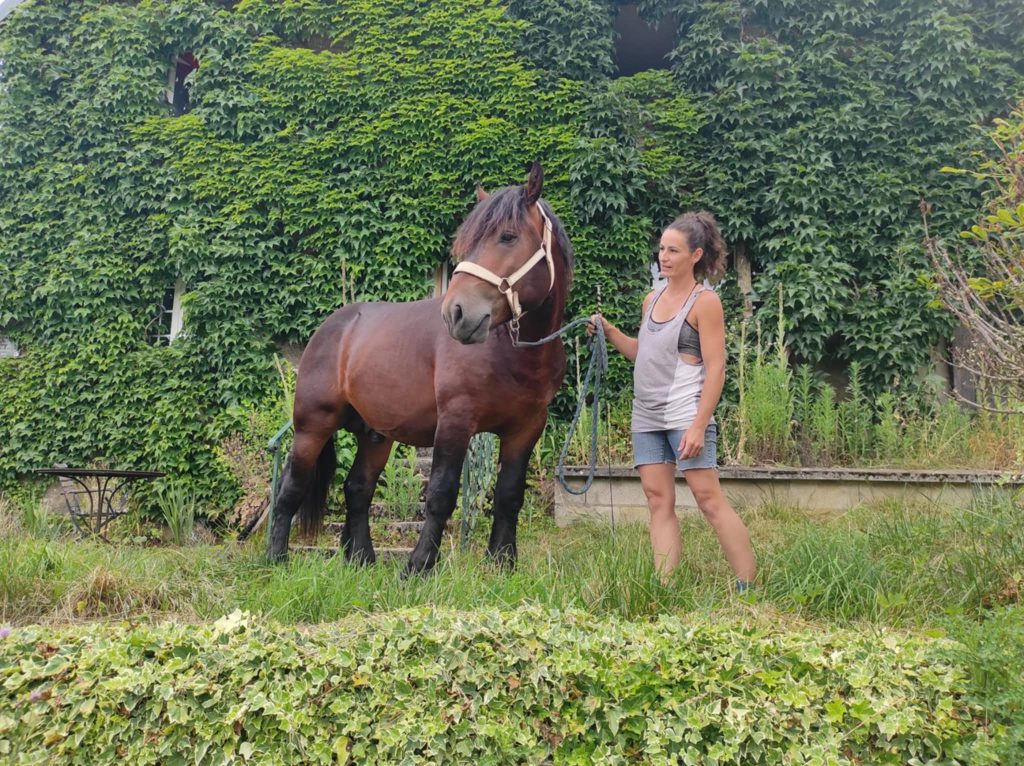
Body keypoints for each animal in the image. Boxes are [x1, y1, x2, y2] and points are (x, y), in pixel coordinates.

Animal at [268, 162, 573, 573]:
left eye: (508, 236)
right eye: (467, 243)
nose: (457, 313)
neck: (513, 354)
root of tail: (331, 327)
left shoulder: (526, 429)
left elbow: (509, 495)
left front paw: (502, 564)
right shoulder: (456, 421)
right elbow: (442, 493)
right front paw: (419, 565)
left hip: (375, 435)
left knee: (357, 489)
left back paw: (361, 560)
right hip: (312, 426)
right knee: (292, 488)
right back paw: (275, 558)